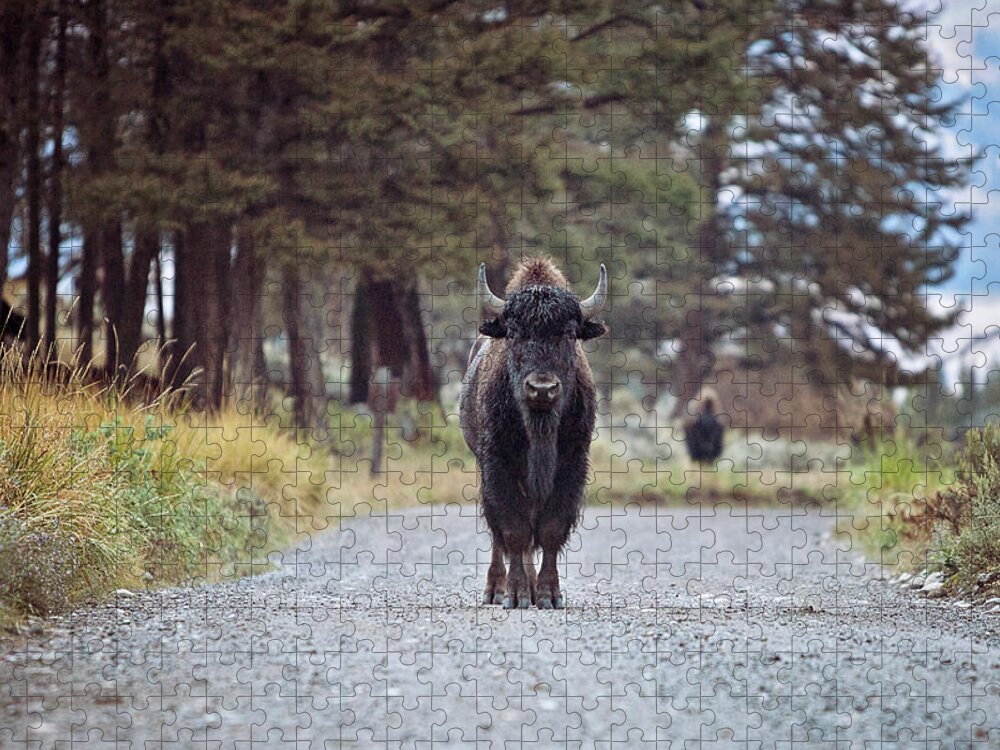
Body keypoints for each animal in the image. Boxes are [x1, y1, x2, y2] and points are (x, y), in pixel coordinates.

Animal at [460, 258, 608, 612]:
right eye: (514, 333)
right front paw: (516, 595)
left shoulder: (571, 465)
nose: (542, 388)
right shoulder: (498, 465)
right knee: (502, 535)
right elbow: (513, 530)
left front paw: (549, 595)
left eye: (569, 333)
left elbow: (551, 529)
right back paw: (497, 590)